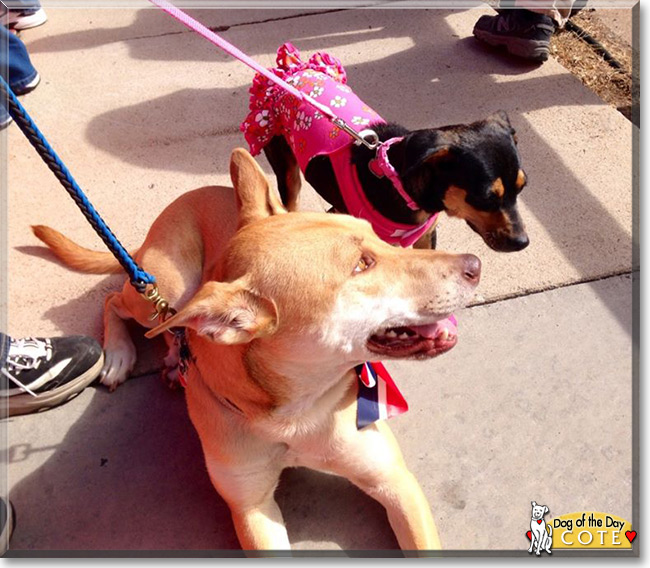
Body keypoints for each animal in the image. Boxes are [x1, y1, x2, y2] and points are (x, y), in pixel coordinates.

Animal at [36, 150, 480, 552]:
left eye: (378, 237)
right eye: (362, 264)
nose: (476, 264)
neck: (294, 412)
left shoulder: (394, 482)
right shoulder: (251, 508)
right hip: (163, 290)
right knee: (115, 301)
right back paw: (119, 355)